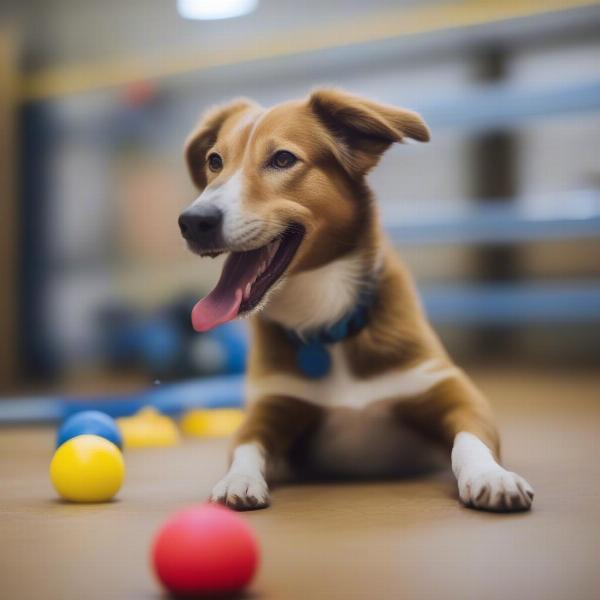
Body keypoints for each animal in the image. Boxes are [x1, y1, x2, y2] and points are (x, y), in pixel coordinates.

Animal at [178, 88, 536, 510]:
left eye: (283, 159)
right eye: (214, 161)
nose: (193, 221)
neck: (326, 322)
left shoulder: (452, 391)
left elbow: (470, 439)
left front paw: (491, 475)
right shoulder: (271, 405)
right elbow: (244, 444)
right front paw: (238, 479)